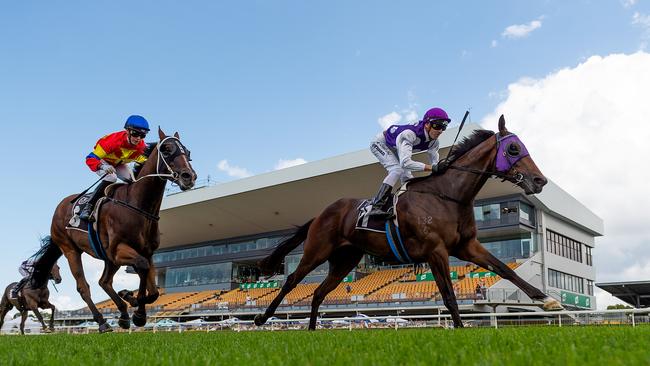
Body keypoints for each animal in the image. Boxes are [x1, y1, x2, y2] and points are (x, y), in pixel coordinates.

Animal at [46, 128, 195, 332]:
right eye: (166, 150)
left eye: (187, 151)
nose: (189, 176)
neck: (139, 206)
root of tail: (59, 207)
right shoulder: (118, 251)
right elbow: (142, 268)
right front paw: (137, 310)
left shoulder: (146, 253)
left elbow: (154, 291)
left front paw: (132, 303)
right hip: (71, 250)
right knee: (84, 287)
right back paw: (102, 322)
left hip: (108, 257)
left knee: (104, 281)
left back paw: (123, 315)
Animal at [256, 116, 560, 328]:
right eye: (513, 148)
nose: (540, 180)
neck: (448, 195)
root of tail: (322, 212)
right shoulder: (436, 251)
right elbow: (449, 296)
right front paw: (460, 329)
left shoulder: (467, 246)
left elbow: (506, 270)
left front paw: (547, 300)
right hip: (317, 250)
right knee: (292, 280)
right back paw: (262, 318)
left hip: (345, 260)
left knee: (318, 292)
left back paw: (310, 330)